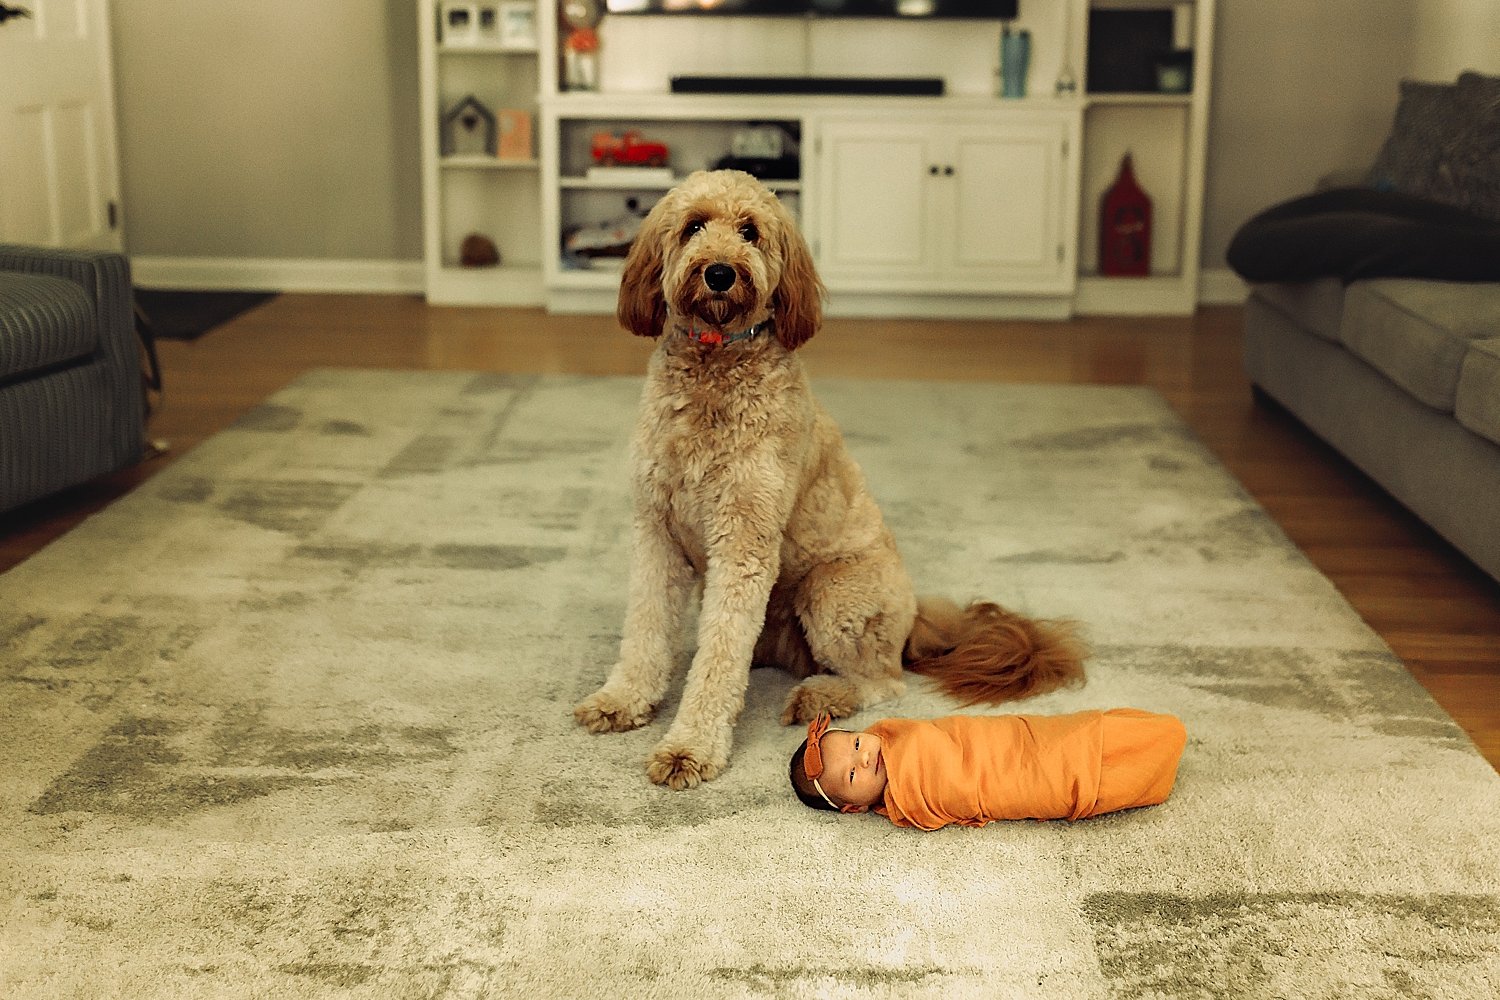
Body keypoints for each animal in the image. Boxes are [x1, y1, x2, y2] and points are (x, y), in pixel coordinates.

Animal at [570, 167, 1080, 785]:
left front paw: (689, 747)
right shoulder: (657, 532)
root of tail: (916, 619)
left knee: (882, 681)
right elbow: (645, 628)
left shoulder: (743, 543)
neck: (715, 365)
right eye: (693, 226)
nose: (720, 272)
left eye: (750, 231)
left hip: (831, 591)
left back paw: (820, 697)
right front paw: (622, 700)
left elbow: (719, 659)